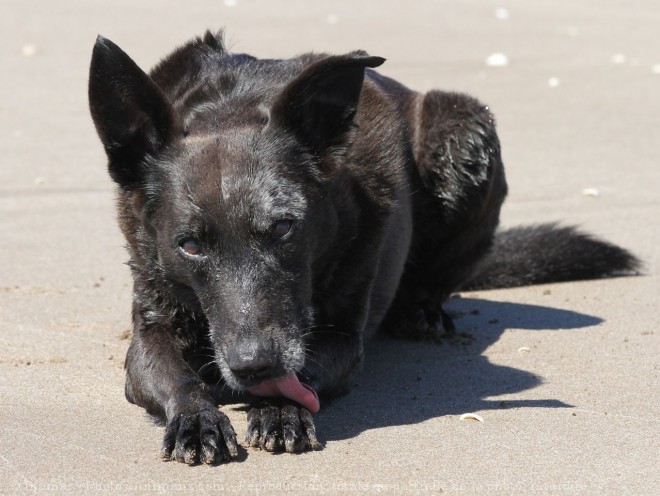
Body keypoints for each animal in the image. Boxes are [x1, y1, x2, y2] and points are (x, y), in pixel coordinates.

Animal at [87, 31, 640, 464]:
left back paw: (422, 313)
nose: (254, 366)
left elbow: (309, 369)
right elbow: (173, 376)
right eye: (190, 245)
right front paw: (197, 417)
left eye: (284, 227)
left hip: (464, 129)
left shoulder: (343, 338)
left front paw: (282, 408)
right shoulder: (150, 326)